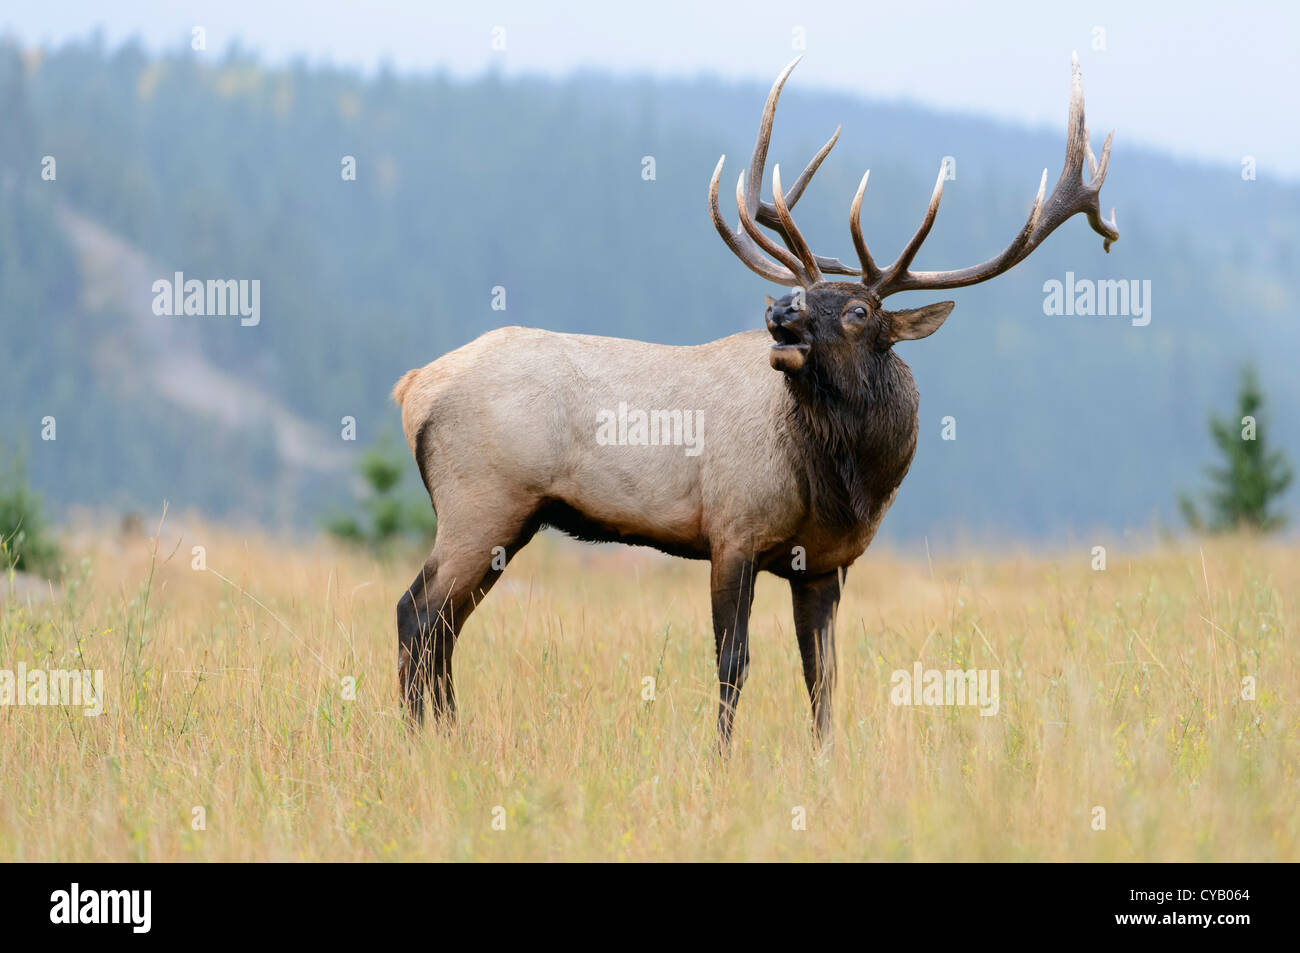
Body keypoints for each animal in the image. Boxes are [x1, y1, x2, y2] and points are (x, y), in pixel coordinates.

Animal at [392, 54, 1117, 751]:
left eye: (858, 310)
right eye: (804, 292)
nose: (779, 312)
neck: (844, 484)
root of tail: (414, 386)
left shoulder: (825, 562)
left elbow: (822, 672)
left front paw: (826, 760)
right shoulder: (732, 530)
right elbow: (733, 662)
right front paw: (720, 759)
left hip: (507, 517)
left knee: (444, 626)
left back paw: (446, 736)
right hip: (482, 500)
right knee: (417, 613)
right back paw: (422, 740)